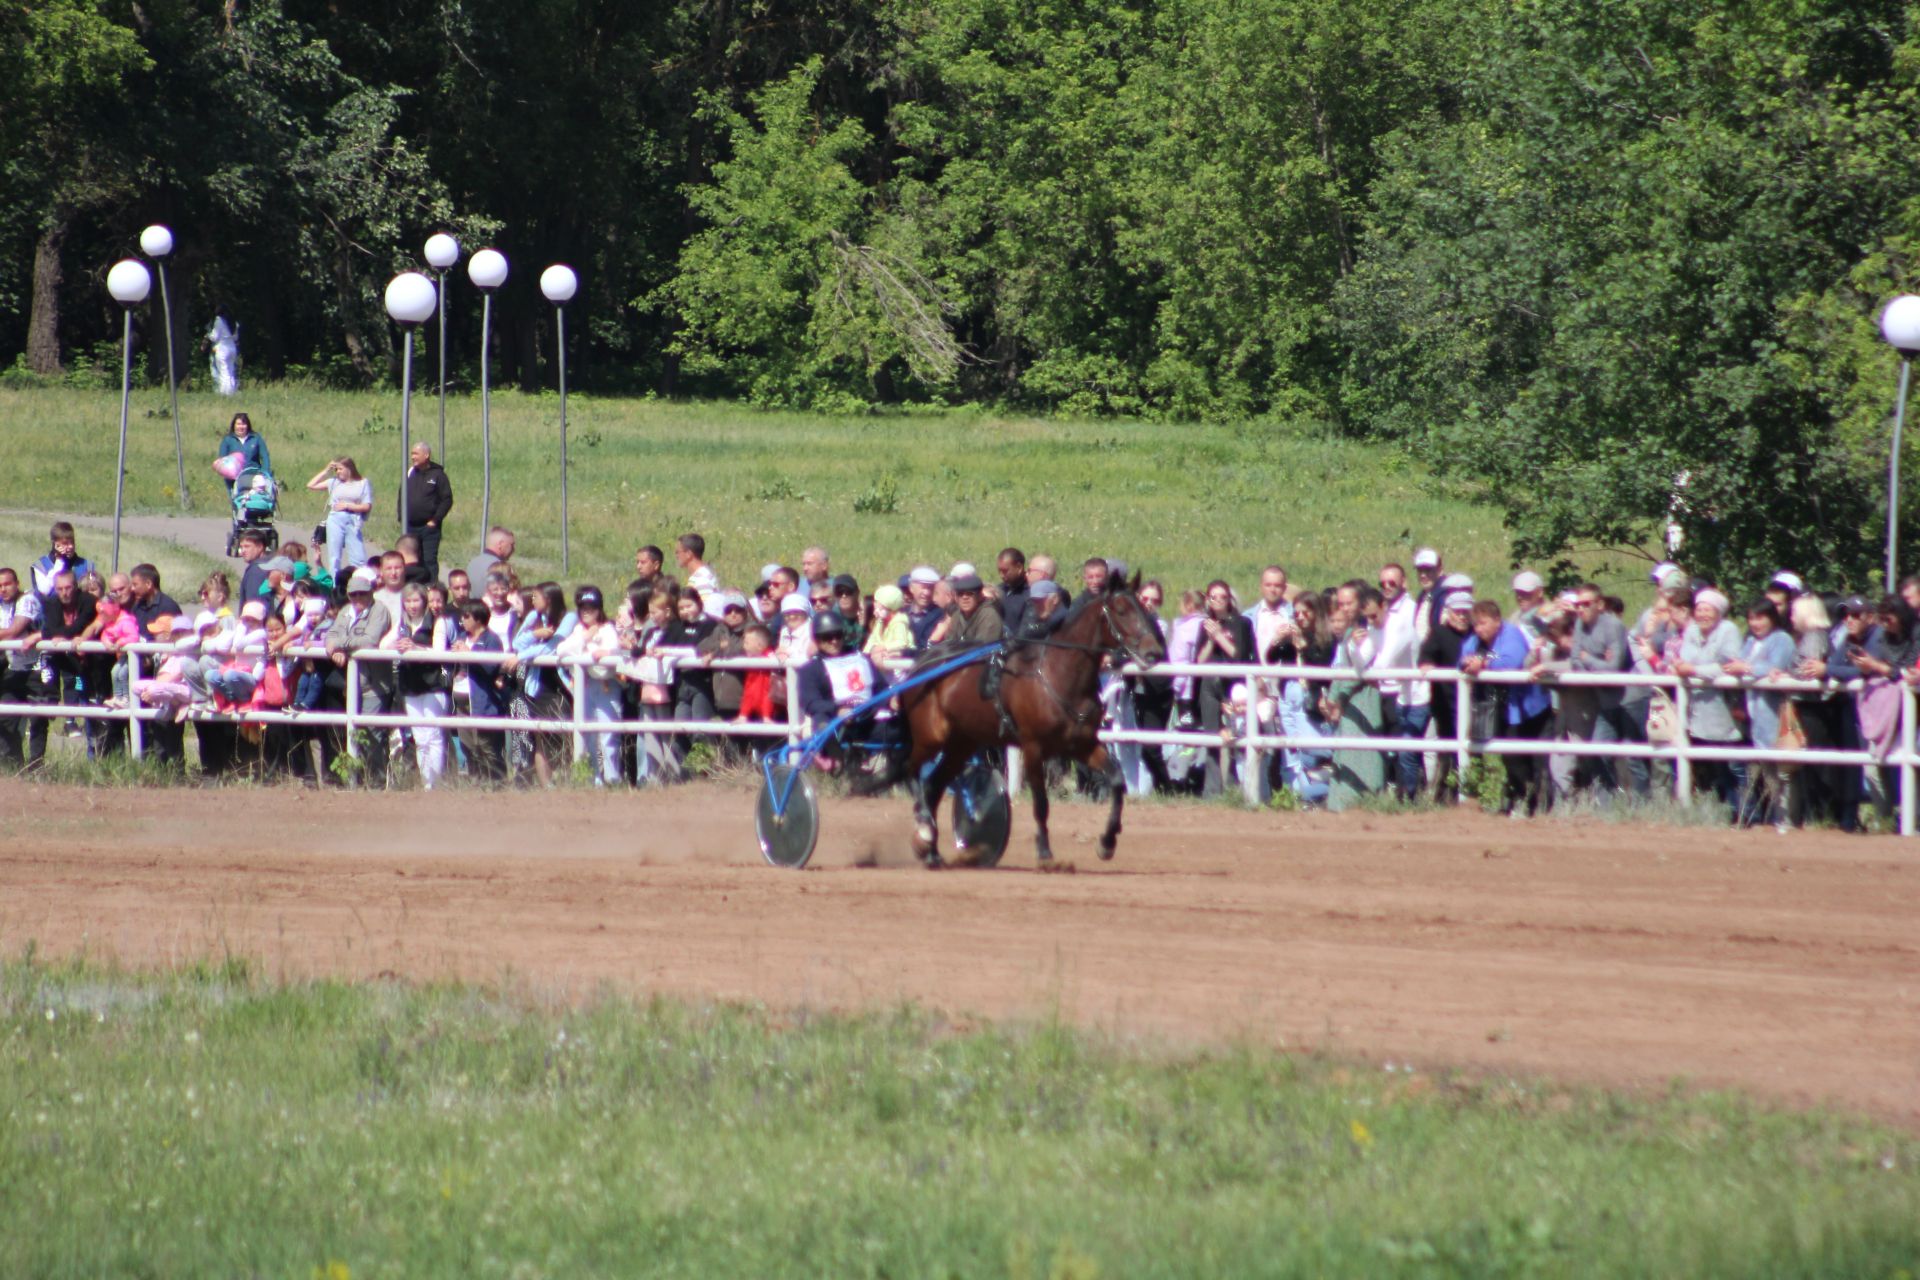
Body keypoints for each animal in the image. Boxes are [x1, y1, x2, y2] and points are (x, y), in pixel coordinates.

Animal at [890, 571, 1159, 867]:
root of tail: (921, 665)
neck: (1058, 675)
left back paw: (932, 852)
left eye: (1144, 608)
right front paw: (1044, 852)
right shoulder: (1033, 747)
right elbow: (1041, 803)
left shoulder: (1082, 744)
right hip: (931, 736)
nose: (1154, 652)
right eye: (1121, 611)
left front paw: (1107, 842)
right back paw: (925, 830)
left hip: (961, 743)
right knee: (910, 770)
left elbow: (1116, 780)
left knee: (934, 786)